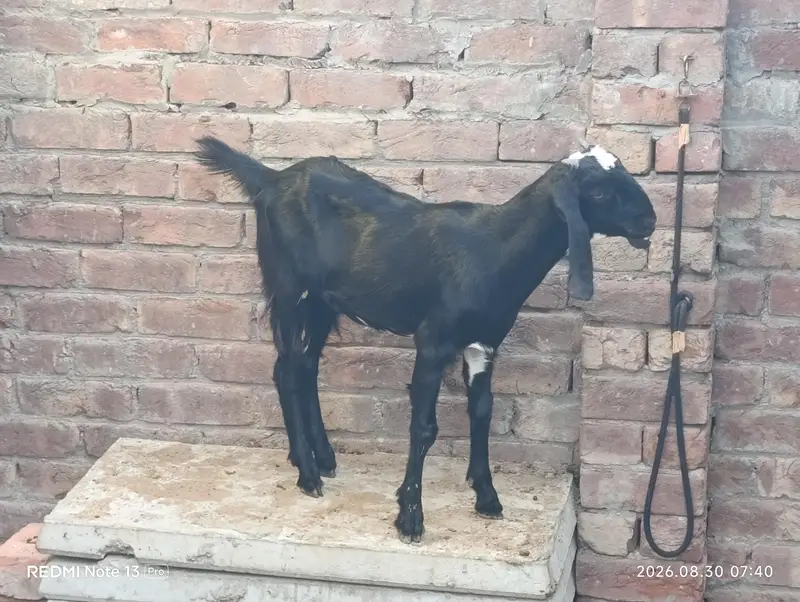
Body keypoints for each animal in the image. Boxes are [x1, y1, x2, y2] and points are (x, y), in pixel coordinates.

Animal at [194, 136, 657, 543]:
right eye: (599, 191)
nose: (649, 220)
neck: (493, 250)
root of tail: (271, 179)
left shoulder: (484, 344)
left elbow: (482, 413)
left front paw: (487, 498)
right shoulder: (432, 341)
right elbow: (424, 427)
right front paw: (410, 517)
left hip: (323, 301)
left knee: (303, 366)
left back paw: (320, 458)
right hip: (289, 288)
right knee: (287, 370)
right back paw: (307, 475)